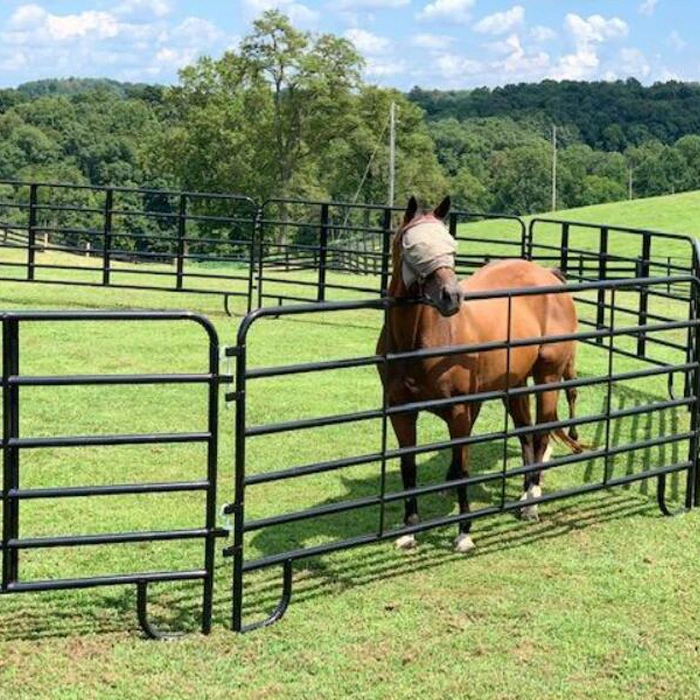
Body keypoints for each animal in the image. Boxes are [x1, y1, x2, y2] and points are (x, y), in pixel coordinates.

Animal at [378, 196, 584, 552]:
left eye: (451, 246)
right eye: (415, 247)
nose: (452, 297)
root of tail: (548, 274)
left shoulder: (460, 411)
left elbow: (462, 468)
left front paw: (464, 533)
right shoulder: (401, 412)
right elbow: (408, 470)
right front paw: (409, 531)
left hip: (548, 377)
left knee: (542, 432)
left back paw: (531, 501)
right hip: (515, 384)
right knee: (525, 433)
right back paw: (525, 491)